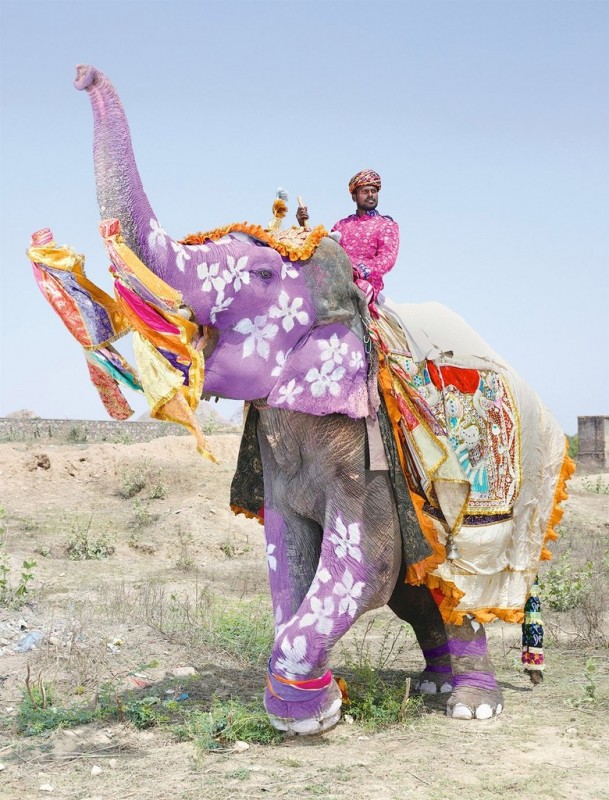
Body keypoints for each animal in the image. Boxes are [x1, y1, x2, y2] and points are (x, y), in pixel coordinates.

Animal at [27, 65, 568, 736]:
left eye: (261, 276)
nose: (81, 74)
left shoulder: (366, 445)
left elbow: (366, 562)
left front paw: (308, 715)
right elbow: (287, 553)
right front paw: (310, 704)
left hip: (500, 514)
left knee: (459, 588)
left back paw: (471, 706)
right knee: (420, 594)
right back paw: (434, 685)